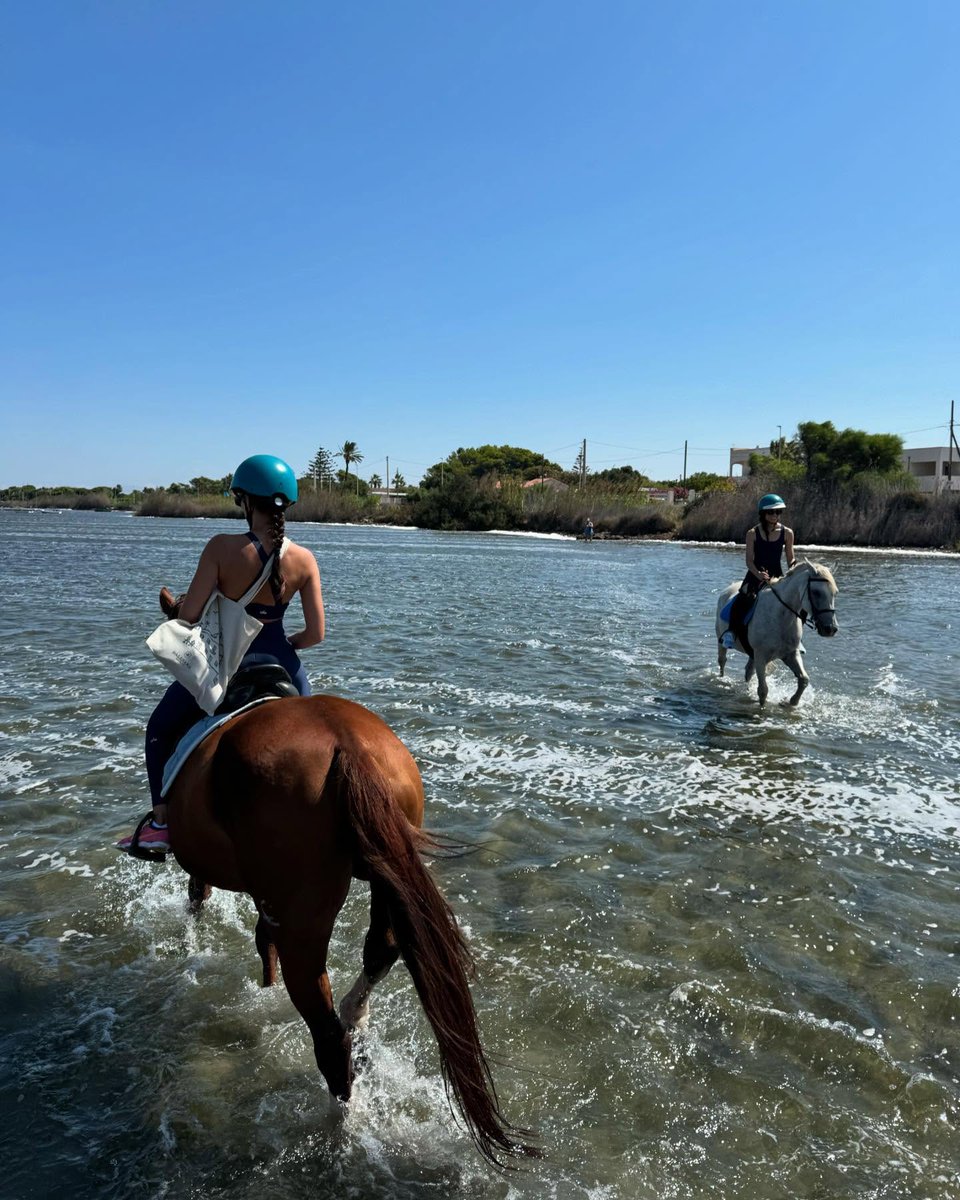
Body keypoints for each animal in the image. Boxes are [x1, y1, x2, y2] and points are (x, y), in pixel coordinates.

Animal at [160, 690, 538, 1166]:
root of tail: (349, 745)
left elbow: (202, 895)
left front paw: (195, 941)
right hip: (386, 870)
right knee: (381, 950)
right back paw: (355, 1017)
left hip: (304, 910)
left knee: (325, 1031)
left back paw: (339, 1122)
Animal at [715, 560, 839, 707]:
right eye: (816, 592)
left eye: (835, 593)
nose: (830, 629)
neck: (781, 616)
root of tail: (727, 590)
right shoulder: (761, 656)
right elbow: (763, 691)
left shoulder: (791, 654)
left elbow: (804, 679)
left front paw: (792, 701)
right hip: (721, 640)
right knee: (722, 661)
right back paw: (721, 680)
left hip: (752, 654)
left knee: (748, 672)